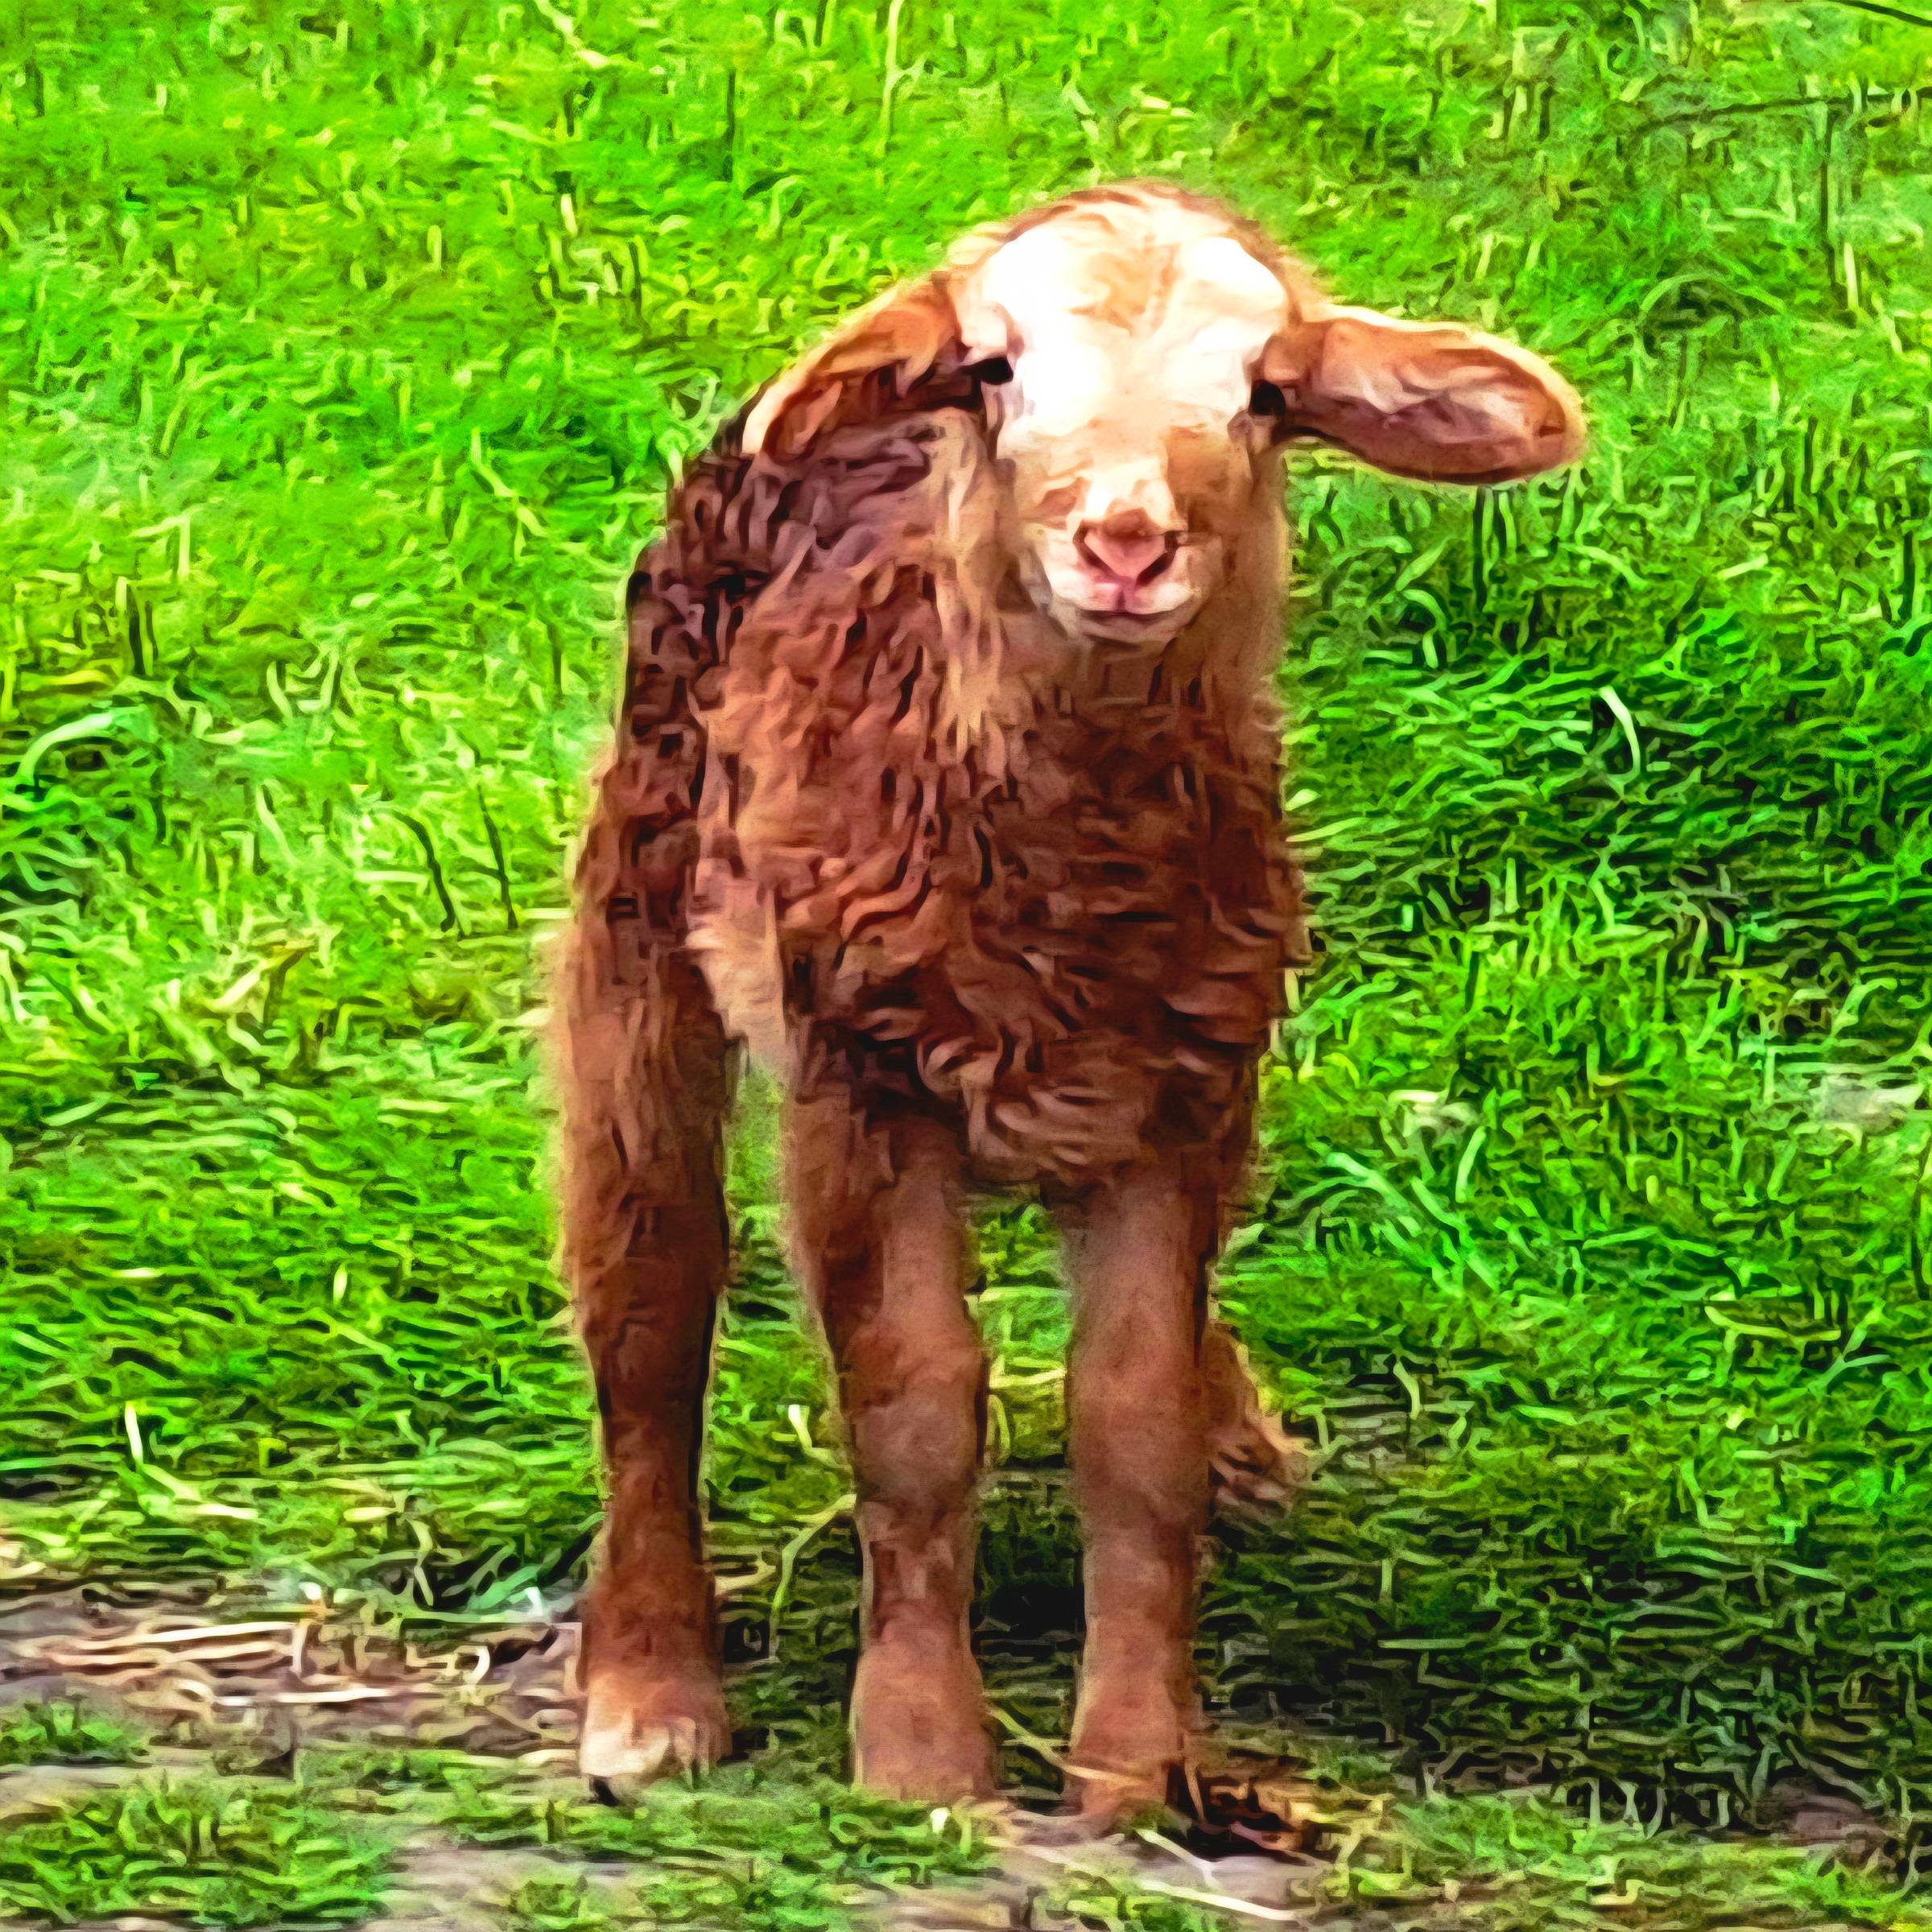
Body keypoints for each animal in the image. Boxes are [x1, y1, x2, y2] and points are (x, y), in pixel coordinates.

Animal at [556, 179, 1584, 1821]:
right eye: (993, 369)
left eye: (1269, 393)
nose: (1124, 543)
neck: (1067, 891)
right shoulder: (865, 1072)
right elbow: (915, 1409)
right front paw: (921, 1760)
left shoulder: (1187, 1090)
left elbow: (1134, 1419)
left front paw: (1133, 1770)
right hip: (644, 879)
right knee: (648, 1292)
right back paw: (651, 1696)